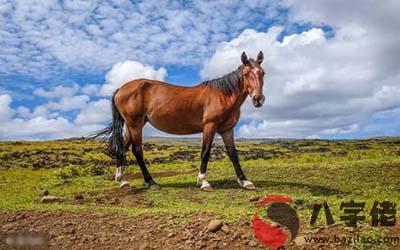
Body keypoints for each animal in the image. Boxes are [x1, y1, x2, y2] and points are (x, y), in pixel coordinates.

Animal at [94, 51, 266, 191]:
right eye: (246, 73)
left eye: (262, 73)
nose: (258, 99)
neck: (222, 95)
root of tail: (120, 90)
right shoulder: (210, 126)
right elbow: (205, 152)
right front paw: (203, 182)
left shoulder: (227, 129)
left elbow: (233, 154)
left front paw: (245, 181)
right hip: (135, 125)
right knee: (137, 151)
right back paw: (151, 182)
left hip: (134, 125)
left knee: (123, 147)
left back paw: (122, 180)